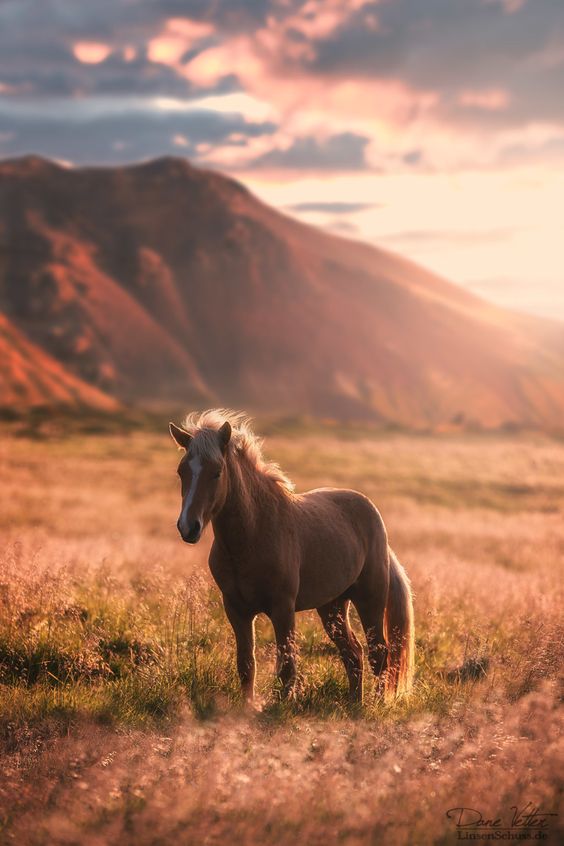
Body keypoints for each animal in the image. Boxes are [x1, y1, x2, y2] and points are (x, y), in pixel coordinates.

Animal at [167, 408, 414, 704]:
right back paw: (355, 701)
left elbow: (287, 666)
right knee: (353, 653)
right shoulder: (236, 610)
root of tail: (372, 513)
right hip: (332, 607)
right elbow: (246, 664)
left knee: (379, 653)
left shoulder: (282, 608)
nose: (188, 527)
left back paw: (375, 704)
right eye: (182, 471)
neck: (252, 535)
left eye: (217, 472)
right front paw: (248, 707)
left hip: (370, 600)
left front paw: (282, 706)